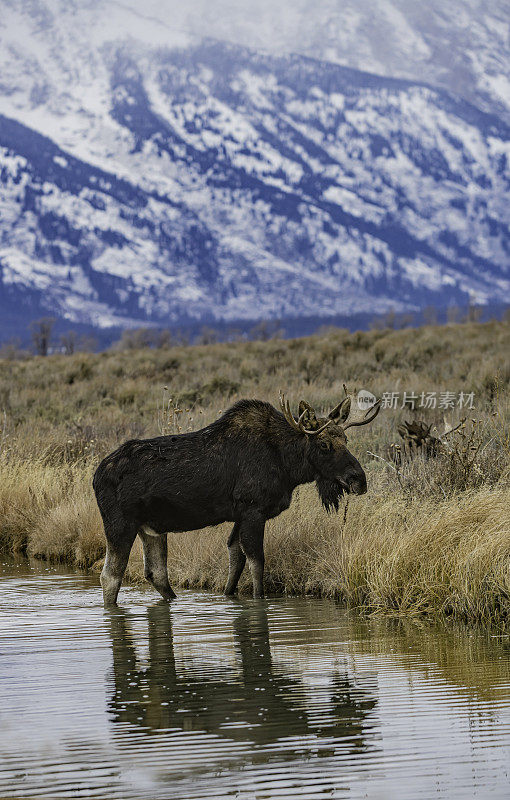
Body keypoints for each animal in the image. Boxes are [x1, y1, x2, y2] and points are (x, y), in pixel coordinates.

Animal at [92, 390, 378, 604]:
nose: (359, 480)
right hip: (120, 524)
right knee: (110, 575)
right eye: (324, 445)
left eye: (346, 439)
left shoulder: (240, 514)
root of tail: (96, 476)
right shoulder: (253, 509)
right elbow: (256, 561)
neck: (287, 465)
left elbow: (235, 555)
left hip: (151, 529)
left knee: (156, 573)